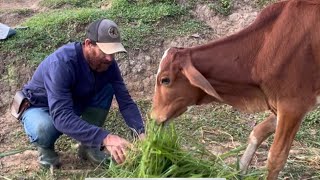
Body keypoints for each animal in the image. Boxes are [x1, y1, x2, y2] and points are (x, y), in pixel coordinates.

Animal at [151, 0, 320, 179]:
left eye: (165, 80)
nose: (153, 117)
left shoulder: (293, 106)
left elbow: (276, 158)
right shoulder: (280, 104)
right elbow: (257, 132)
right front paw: (240, 171)